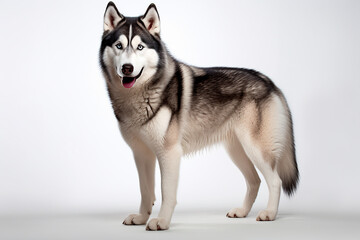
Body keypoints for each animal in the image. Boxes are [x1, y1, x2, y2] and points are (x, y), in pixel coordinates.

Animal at [98, 1, 298, 231]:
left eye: (140, 47)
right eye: (119, 46)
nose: (127, 68)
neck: (137, 97)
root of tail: (269, 82)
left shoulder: (169, 153)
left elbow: (167, 193)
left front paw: (162, 221)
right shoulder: (142, 154)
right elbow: (146, 191)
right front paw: (141, 218)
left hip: (256, 148)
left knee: (275, 181)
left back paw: (269, 214)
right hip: (236, 150)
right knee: (254, 180)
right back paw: (242, 211)